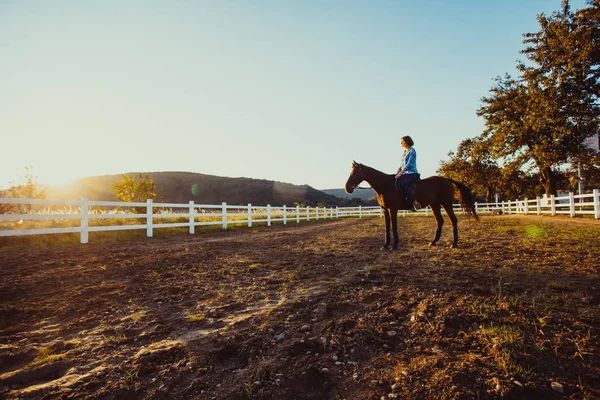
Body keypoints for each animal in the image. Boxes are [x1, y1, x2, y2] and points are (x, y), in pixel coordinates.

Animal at [346, 161, 478, 248]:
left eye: (354, 173)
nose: (347, 188)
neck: (385, 185)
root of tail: (447, 179)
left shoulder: (393, 209)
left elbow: (394, 226)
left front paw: (394, 245)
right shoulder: (385, 210)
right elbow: (387, 227)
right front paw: (386, 245)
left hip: (446, 204)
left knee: (453, 220)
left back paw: (454, 243)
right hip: (434, 205)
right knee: (440, 221)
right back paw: (434, 242)